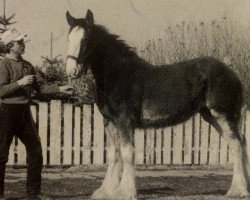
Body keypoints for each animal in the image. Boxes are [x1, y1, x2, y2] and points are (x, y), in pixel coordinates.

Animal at [65, 9, 250, 198]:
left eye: (85, 39)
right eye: (69, 39)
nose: (71, 71)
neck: (118, 74)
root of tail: (233, 74)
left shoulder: (125, 121)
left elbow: (127, 153)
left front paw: (125, 192)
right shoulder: (109, 122)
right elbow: (113, 154)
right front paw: (106, 191)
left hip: (223, 114)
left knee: (237, 145)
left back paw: (238, 190)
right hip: (211, 116)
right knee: (240, 143)